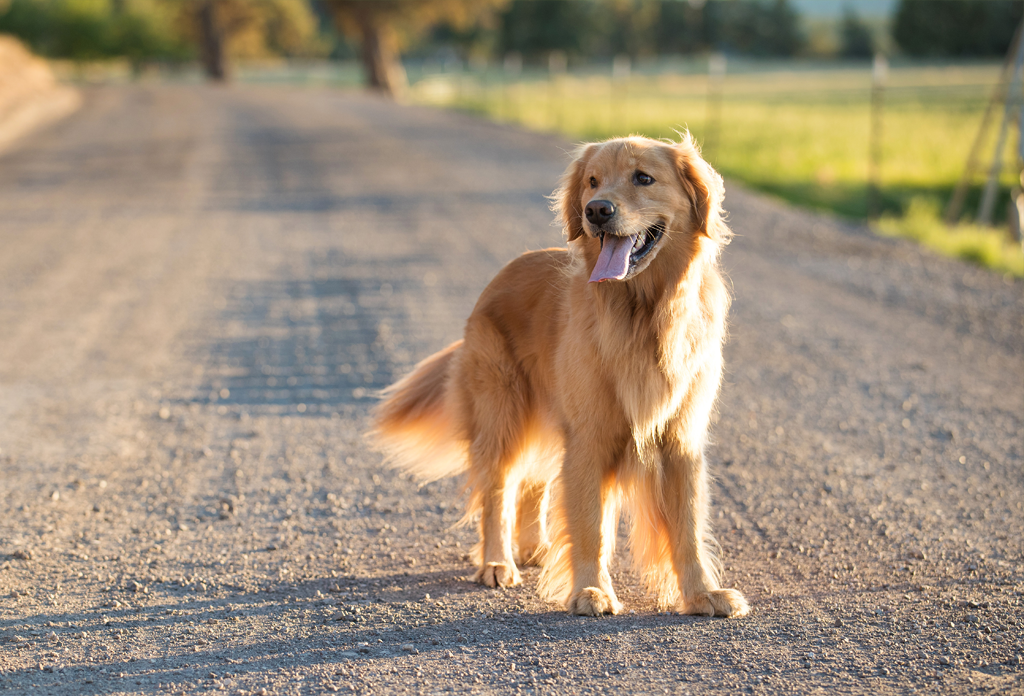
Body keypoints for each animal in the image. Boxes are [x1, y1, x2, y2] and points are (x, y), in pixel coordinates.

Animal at [372, 136, 749, 618]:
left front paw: (703, 593)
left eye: (643, 178)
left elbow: (688, 530)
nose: (596, 210)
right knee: (498, 492)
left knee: (533, 482)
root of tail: (497, 279)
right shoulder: (589, 437)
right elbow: (590, 525)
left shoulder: (680, 441)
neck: (643, 313)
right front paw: (591, 590)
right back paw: (497, 562)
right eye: (592, 180)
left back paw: (534, 548)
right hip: (502, 414)